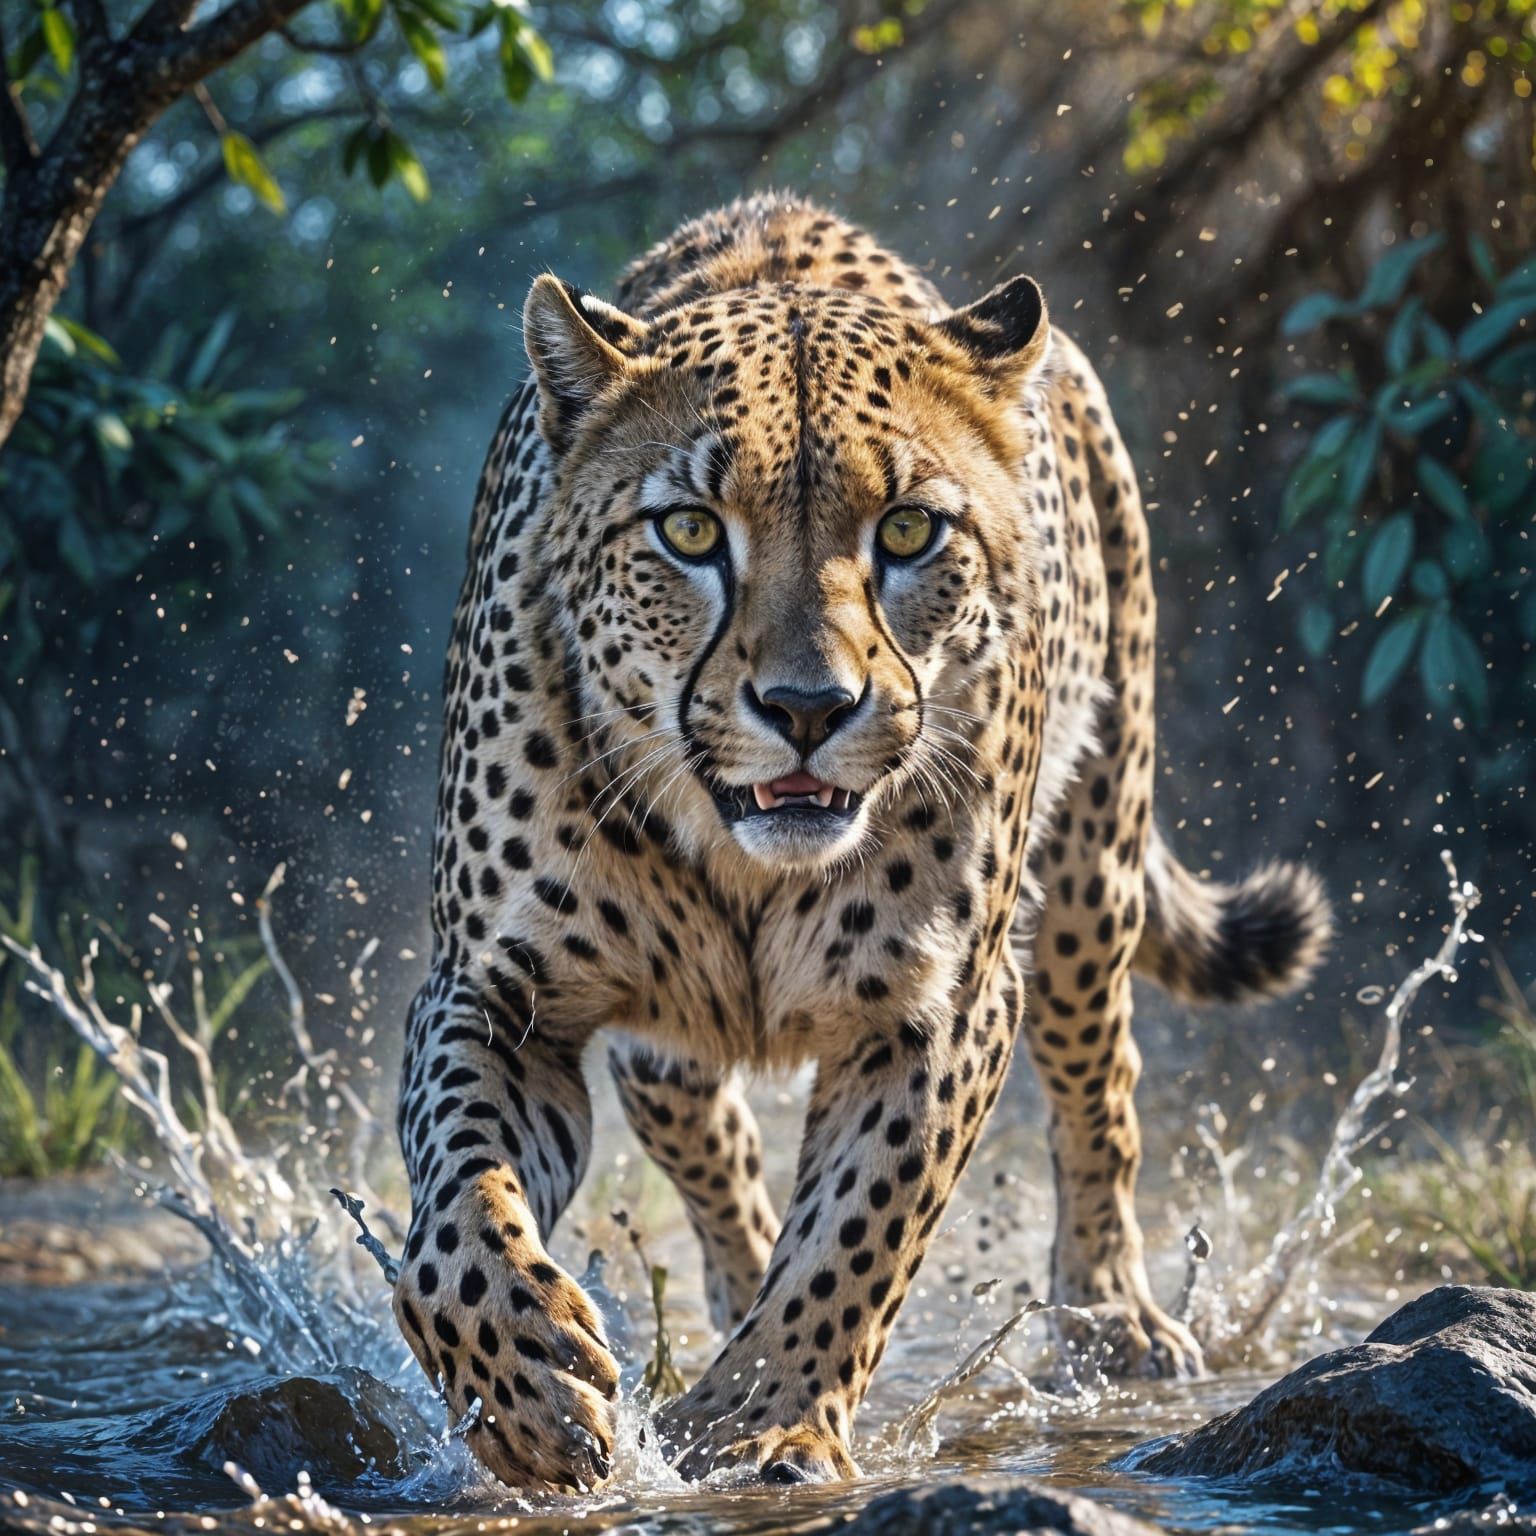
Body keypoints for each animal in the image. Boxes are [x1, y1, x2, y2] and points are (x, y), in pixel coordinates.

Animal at [391, 192, 1331, 1492]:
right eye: (691, 531)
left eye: (909, 530)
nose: (806, 709)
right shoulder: (496, 992)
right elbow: (458, 1195)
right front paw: (523, 1385)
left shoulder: (938, 1007)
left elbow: (859, 1226)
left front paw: (760, 1422)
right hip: (665, 1045)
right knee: (707, 1142)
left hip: (1092, 866)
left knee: (1103, 1085)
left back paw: (1112, 1319)